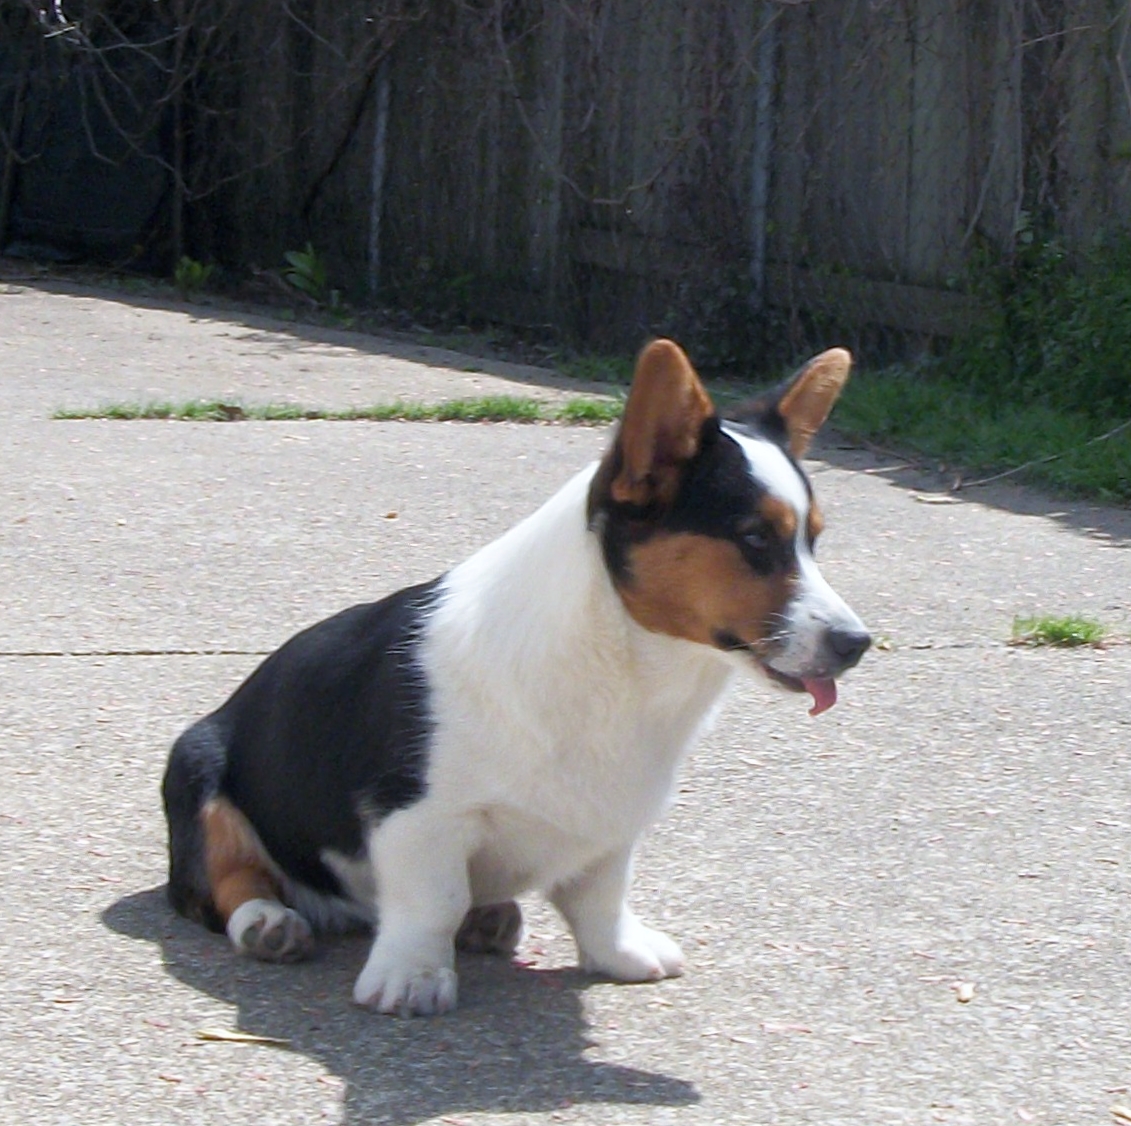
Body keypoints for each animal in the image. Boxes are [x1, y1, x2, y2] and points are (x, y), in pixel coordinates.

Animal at [162, 338, 870, 1016]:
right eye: (754, 538)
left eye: (813, 540)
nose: (857, 644)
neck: (627, 664)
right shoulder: (416, 815)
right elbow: (432, 901)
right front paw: (413, 979)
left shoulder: (611, 829)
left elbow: (602, 897)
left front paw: (618, 953)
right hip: (197, 767)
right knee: (221, 883)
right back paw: (269, 922)